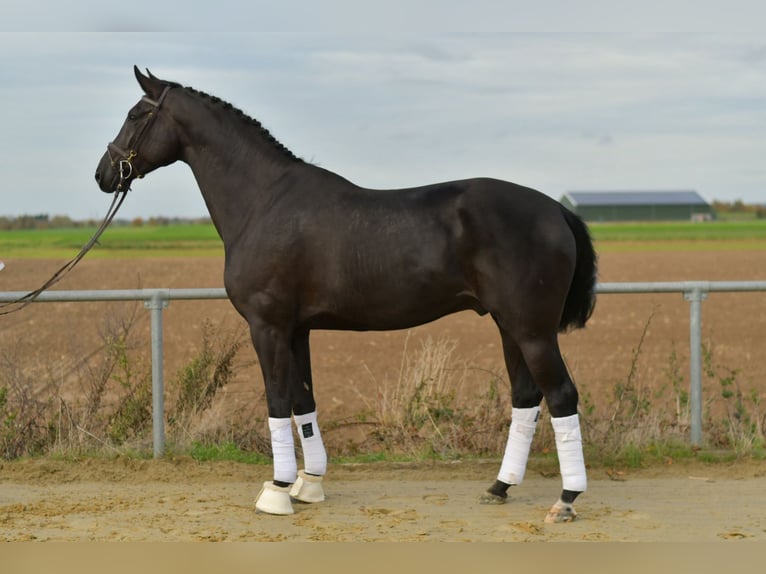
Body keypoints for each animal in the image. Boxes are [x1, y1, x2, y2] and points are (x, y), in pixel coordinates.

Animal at [95, 67, 597, 523]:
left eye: (136, 114)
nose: (103, 174)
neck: (264, 201)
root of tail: (555, 209)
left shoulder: (267, 326)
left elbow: (277, 401)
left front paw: (276, 491)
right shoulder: (296, 330)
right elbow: (303, 403)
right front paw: (308, 484)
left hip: (532, 330)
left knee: (561, 395)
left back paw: (566, 499)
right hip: (509, 325)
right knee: (526, 397)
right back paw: (499, 487)